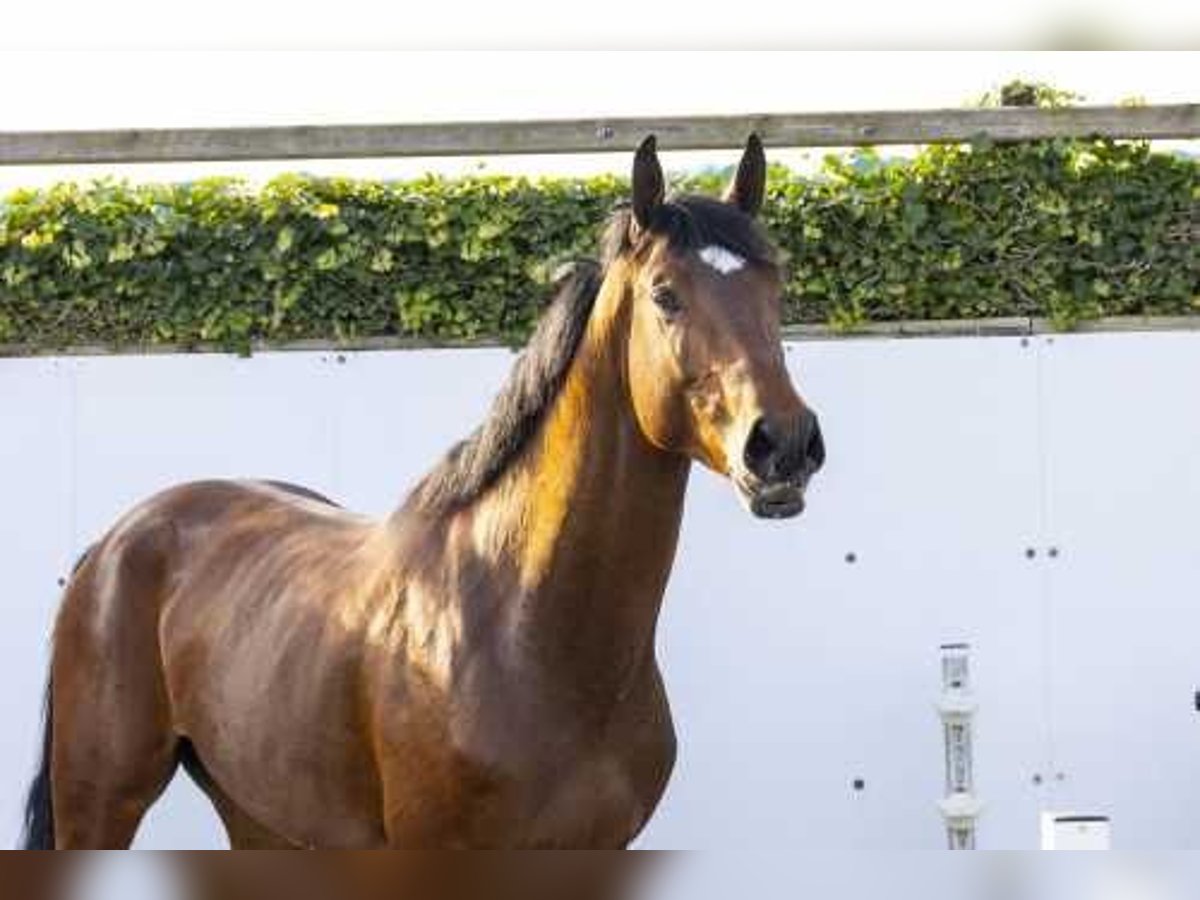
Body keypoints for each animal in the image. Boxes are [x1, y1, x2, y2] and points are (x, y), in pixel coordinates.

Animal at [21, 135, 825, 854]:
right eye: (666, 294)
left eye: (775, 285)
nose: (782, 442)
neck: (526, 630)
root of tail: (115, 543)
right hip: (100, 806)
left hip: (263, 817)